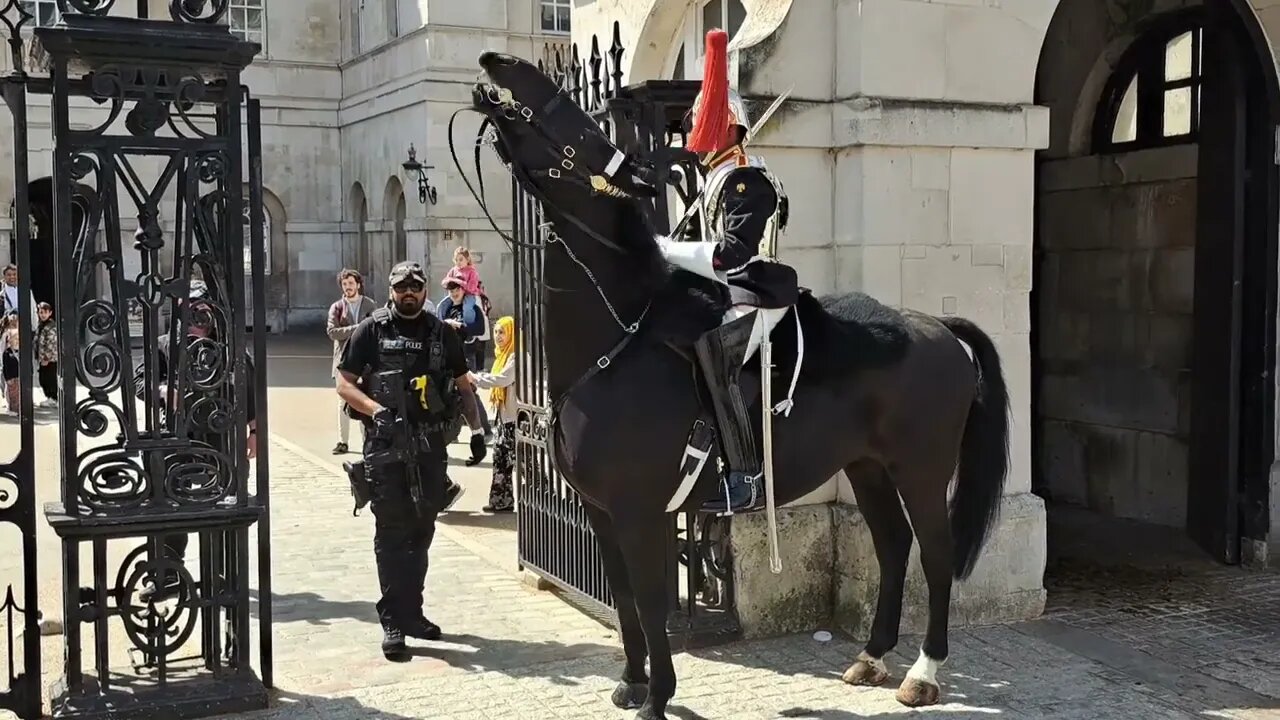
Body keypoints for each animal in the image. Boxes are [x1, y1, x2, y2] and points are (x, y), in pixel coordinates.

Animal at [468, 53, 1008, 712]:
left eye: (577, 120)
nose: (498, 64)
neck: (614, 344)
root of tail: (938, 327)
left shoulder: (640, 512)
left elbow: (651, 603)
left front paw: (657, 697)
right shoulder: (601, 513)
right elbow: (623, 599)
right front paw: (631, 682)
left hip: (921, 470)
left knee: (934, 552)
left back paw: (924, 671)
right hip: (868, 467)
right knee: (893, 545)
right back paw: (873, 657)